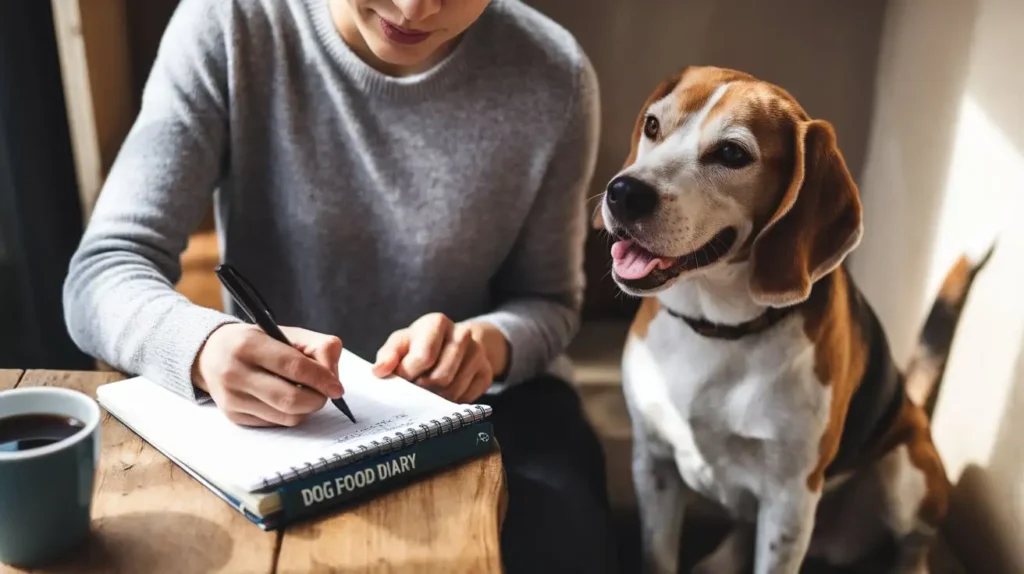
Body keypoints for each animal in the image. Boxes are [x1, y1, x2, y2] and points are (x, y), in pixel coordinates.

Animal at [593, 64, 991, 568]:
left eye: (731, 153)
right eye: (652, 125)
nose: (623, 192)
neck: (719, 329)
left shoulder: (790, 498)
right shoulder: (654, 462)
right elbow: (658, 554)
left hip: (906, 473)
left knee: (913, 548)